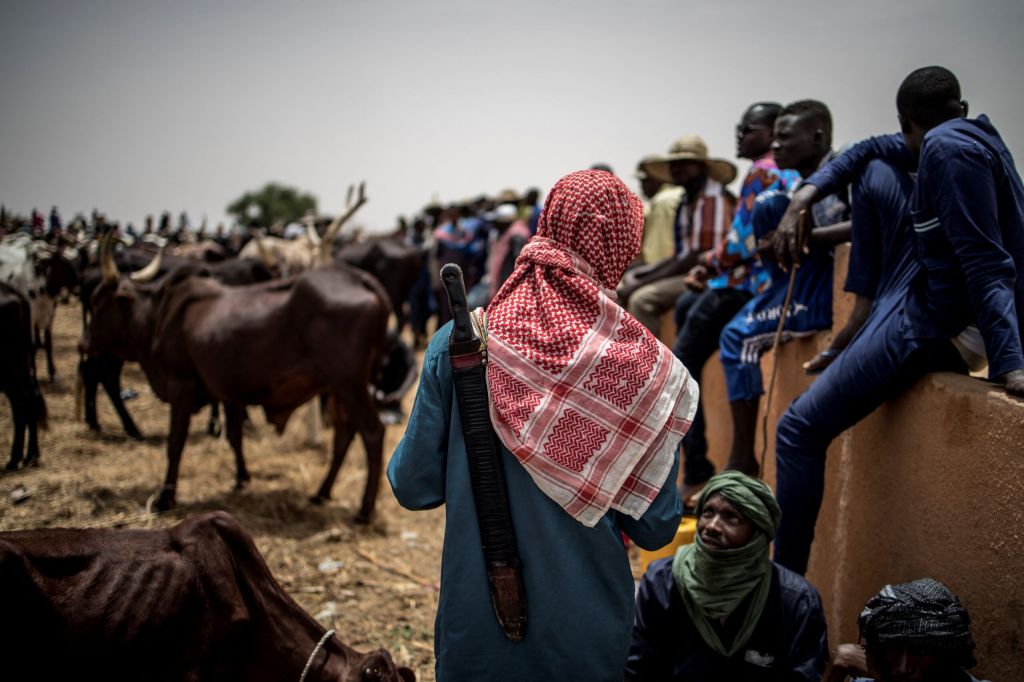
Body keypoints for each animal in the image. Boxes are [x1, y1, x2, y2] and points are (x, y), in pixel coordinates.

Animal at [86, 236, 389, 518]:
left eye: (98, 304)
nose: (84, 344)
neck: (159, 315)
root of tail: (361, 279)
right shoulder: (227, 390)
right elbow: (234, 436)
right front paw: (241, 478)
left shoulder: (182, 382)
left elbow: (175, 443)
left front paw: (165, 498)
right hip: (339, 388)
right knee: (344, 434)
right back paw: (321, 493)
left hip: (349, 382)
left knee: (372, 431)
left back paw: (365, 510)